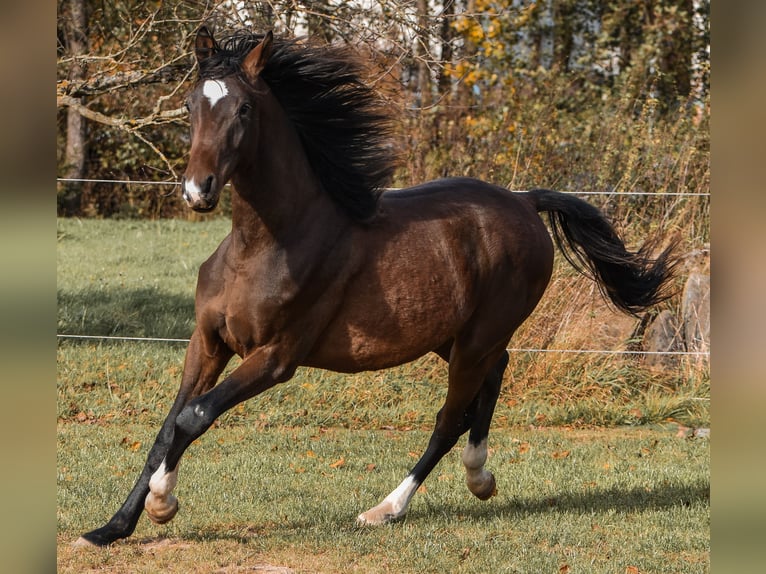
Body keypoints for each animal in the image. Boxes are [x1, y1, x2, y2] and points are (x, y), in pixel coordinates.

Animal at [76, 28, 678, 546]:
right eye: (188, 105)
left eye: (243, 109)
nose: (197, 191)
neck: (262, 244)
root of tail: (526, 202)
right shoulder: (207, 343)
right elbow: (166, 428)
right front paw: (111, 528)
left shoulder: (276, 357)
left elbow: (193, 417)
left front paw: (163, 503)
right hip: (450, 336)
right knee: (495, 376)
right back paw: (479, 477)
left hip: (476, 337)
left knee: (449, 417)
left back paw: (387, 508)